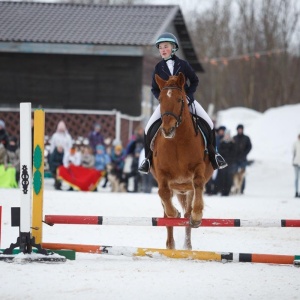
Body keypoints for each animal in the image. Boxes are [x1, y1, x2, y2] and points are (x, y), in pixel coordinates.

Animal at [150, 73, 213, 251]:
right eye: (160, 100)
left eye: (180, 99)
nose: (167, 129)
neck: (176, 141)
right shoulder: (162, 174)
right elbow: (164, 195)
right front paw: (174, 213)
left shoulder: (198, 168)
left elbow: (198, 183)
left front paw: (197, 216)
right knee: (166, 213)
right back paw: (171, 246)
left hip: (187, 189)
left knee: (187, 212)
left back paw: (187, 245)